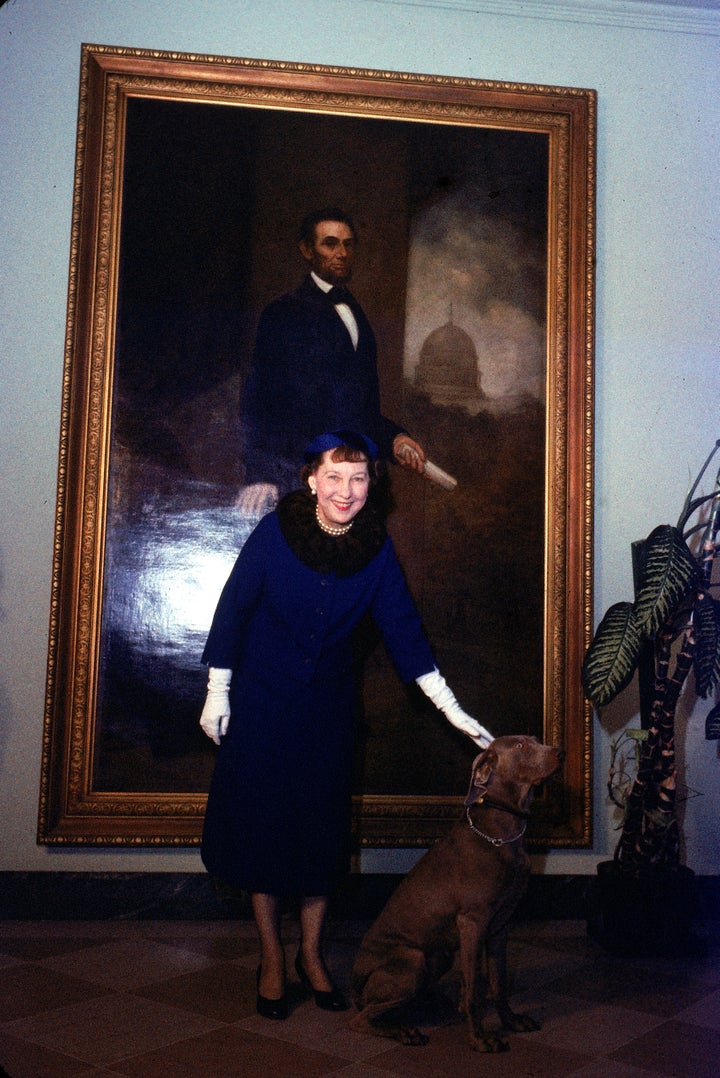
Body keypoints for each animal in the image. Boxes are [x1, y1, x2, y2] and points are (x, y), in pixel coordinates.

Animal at [349, 737, 560, 1047]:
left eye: (535, 741)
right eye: (520, 746)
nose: (561, 752)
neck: (500, 833)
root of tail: (354, 989)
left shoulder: (500, 926)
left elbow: (498, 982)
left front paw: (511, 1021)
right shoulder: (472, 922)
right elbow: (472, 988)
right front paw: (479, 1038)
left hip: (440, 956)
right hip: (413, 960)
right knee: (361, 1019)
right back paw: (403, 1031)